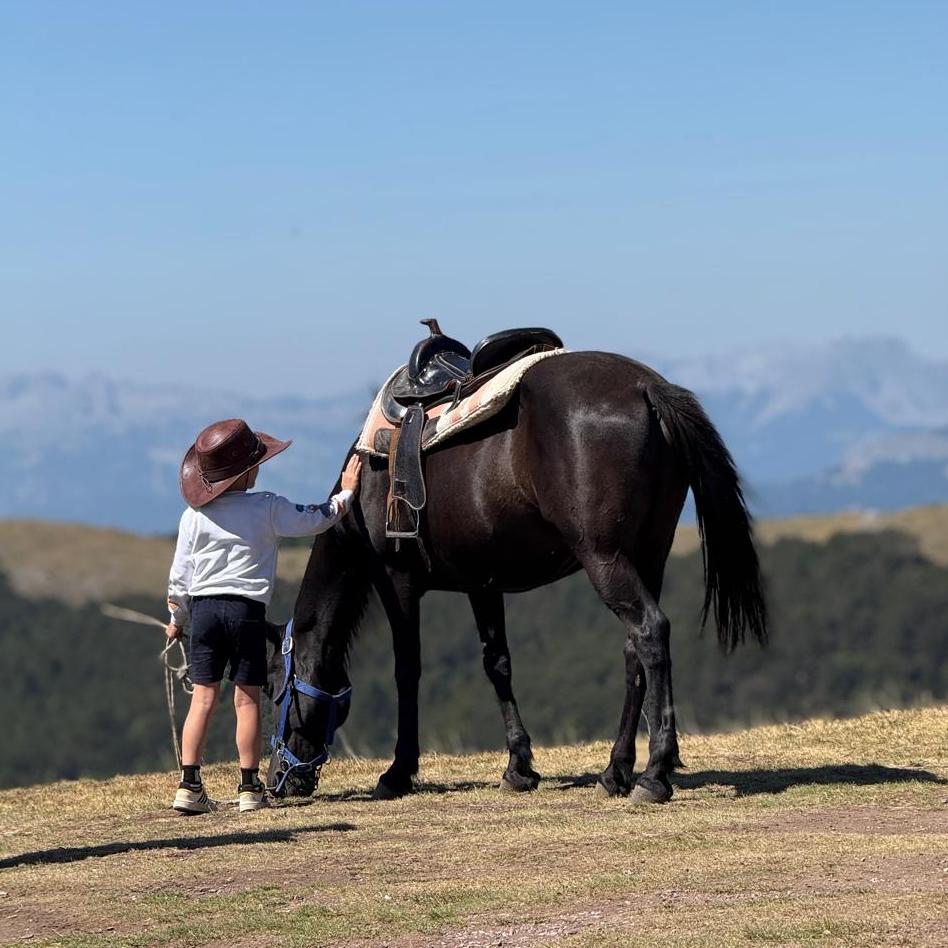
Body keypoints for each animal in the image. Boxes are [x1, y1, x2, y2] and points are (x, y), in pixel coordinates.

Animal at [265, 350, 767, 803]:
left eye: (274, 690)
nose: (279, 782)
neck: (367, 480)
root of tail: (647, 388)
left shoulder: (398, 581)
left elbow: (407, 670)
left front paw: (398, 772)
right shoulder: (481, 584)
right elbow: (497, 664)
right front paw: (518, 766)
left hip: (605, 557)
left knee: (650, 631)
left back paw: (654, 774)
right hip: (648, 554)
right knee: (634, 651)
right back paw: (615, 771)